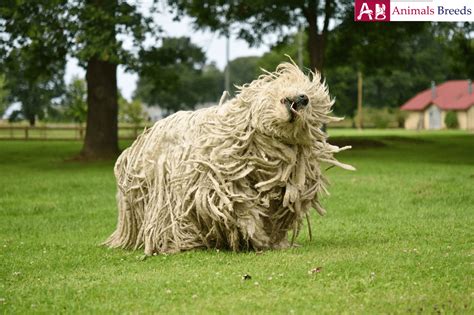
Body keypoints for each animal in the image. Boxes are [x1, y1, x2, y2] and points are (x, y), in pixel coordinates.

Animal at [105, 61, 354, 256]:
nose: (303, 98)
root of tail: (138, 143)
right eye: (295, 84)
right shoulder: (217, 182)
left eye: (311, 104)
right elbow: (239, 207)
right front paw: (253, 234)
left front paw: (269, 240)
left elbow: (275, 214)